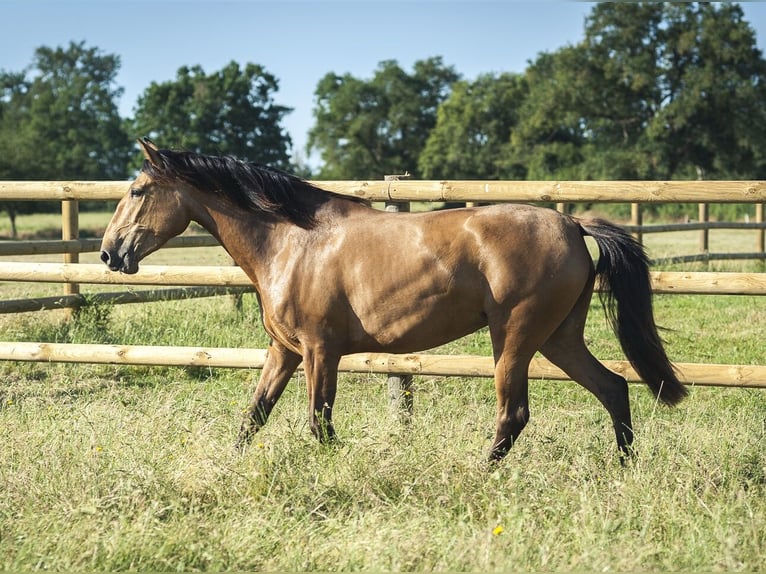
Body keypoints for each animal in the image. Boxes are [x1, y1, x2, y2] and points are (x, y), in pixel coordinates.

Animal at [100, 138, 687, 461]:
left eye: (137, 191)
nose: (109, 253)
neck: (292, 240)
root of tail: (572, 224)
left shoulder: (320, 351)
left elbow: (319, 422)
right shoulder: (284, 351)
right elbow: (254, 417)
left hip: (516, 337)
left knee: (514, 414)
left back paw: (479, 475)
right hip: (559, 338)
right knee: (613, 388)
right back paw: (624, 469)